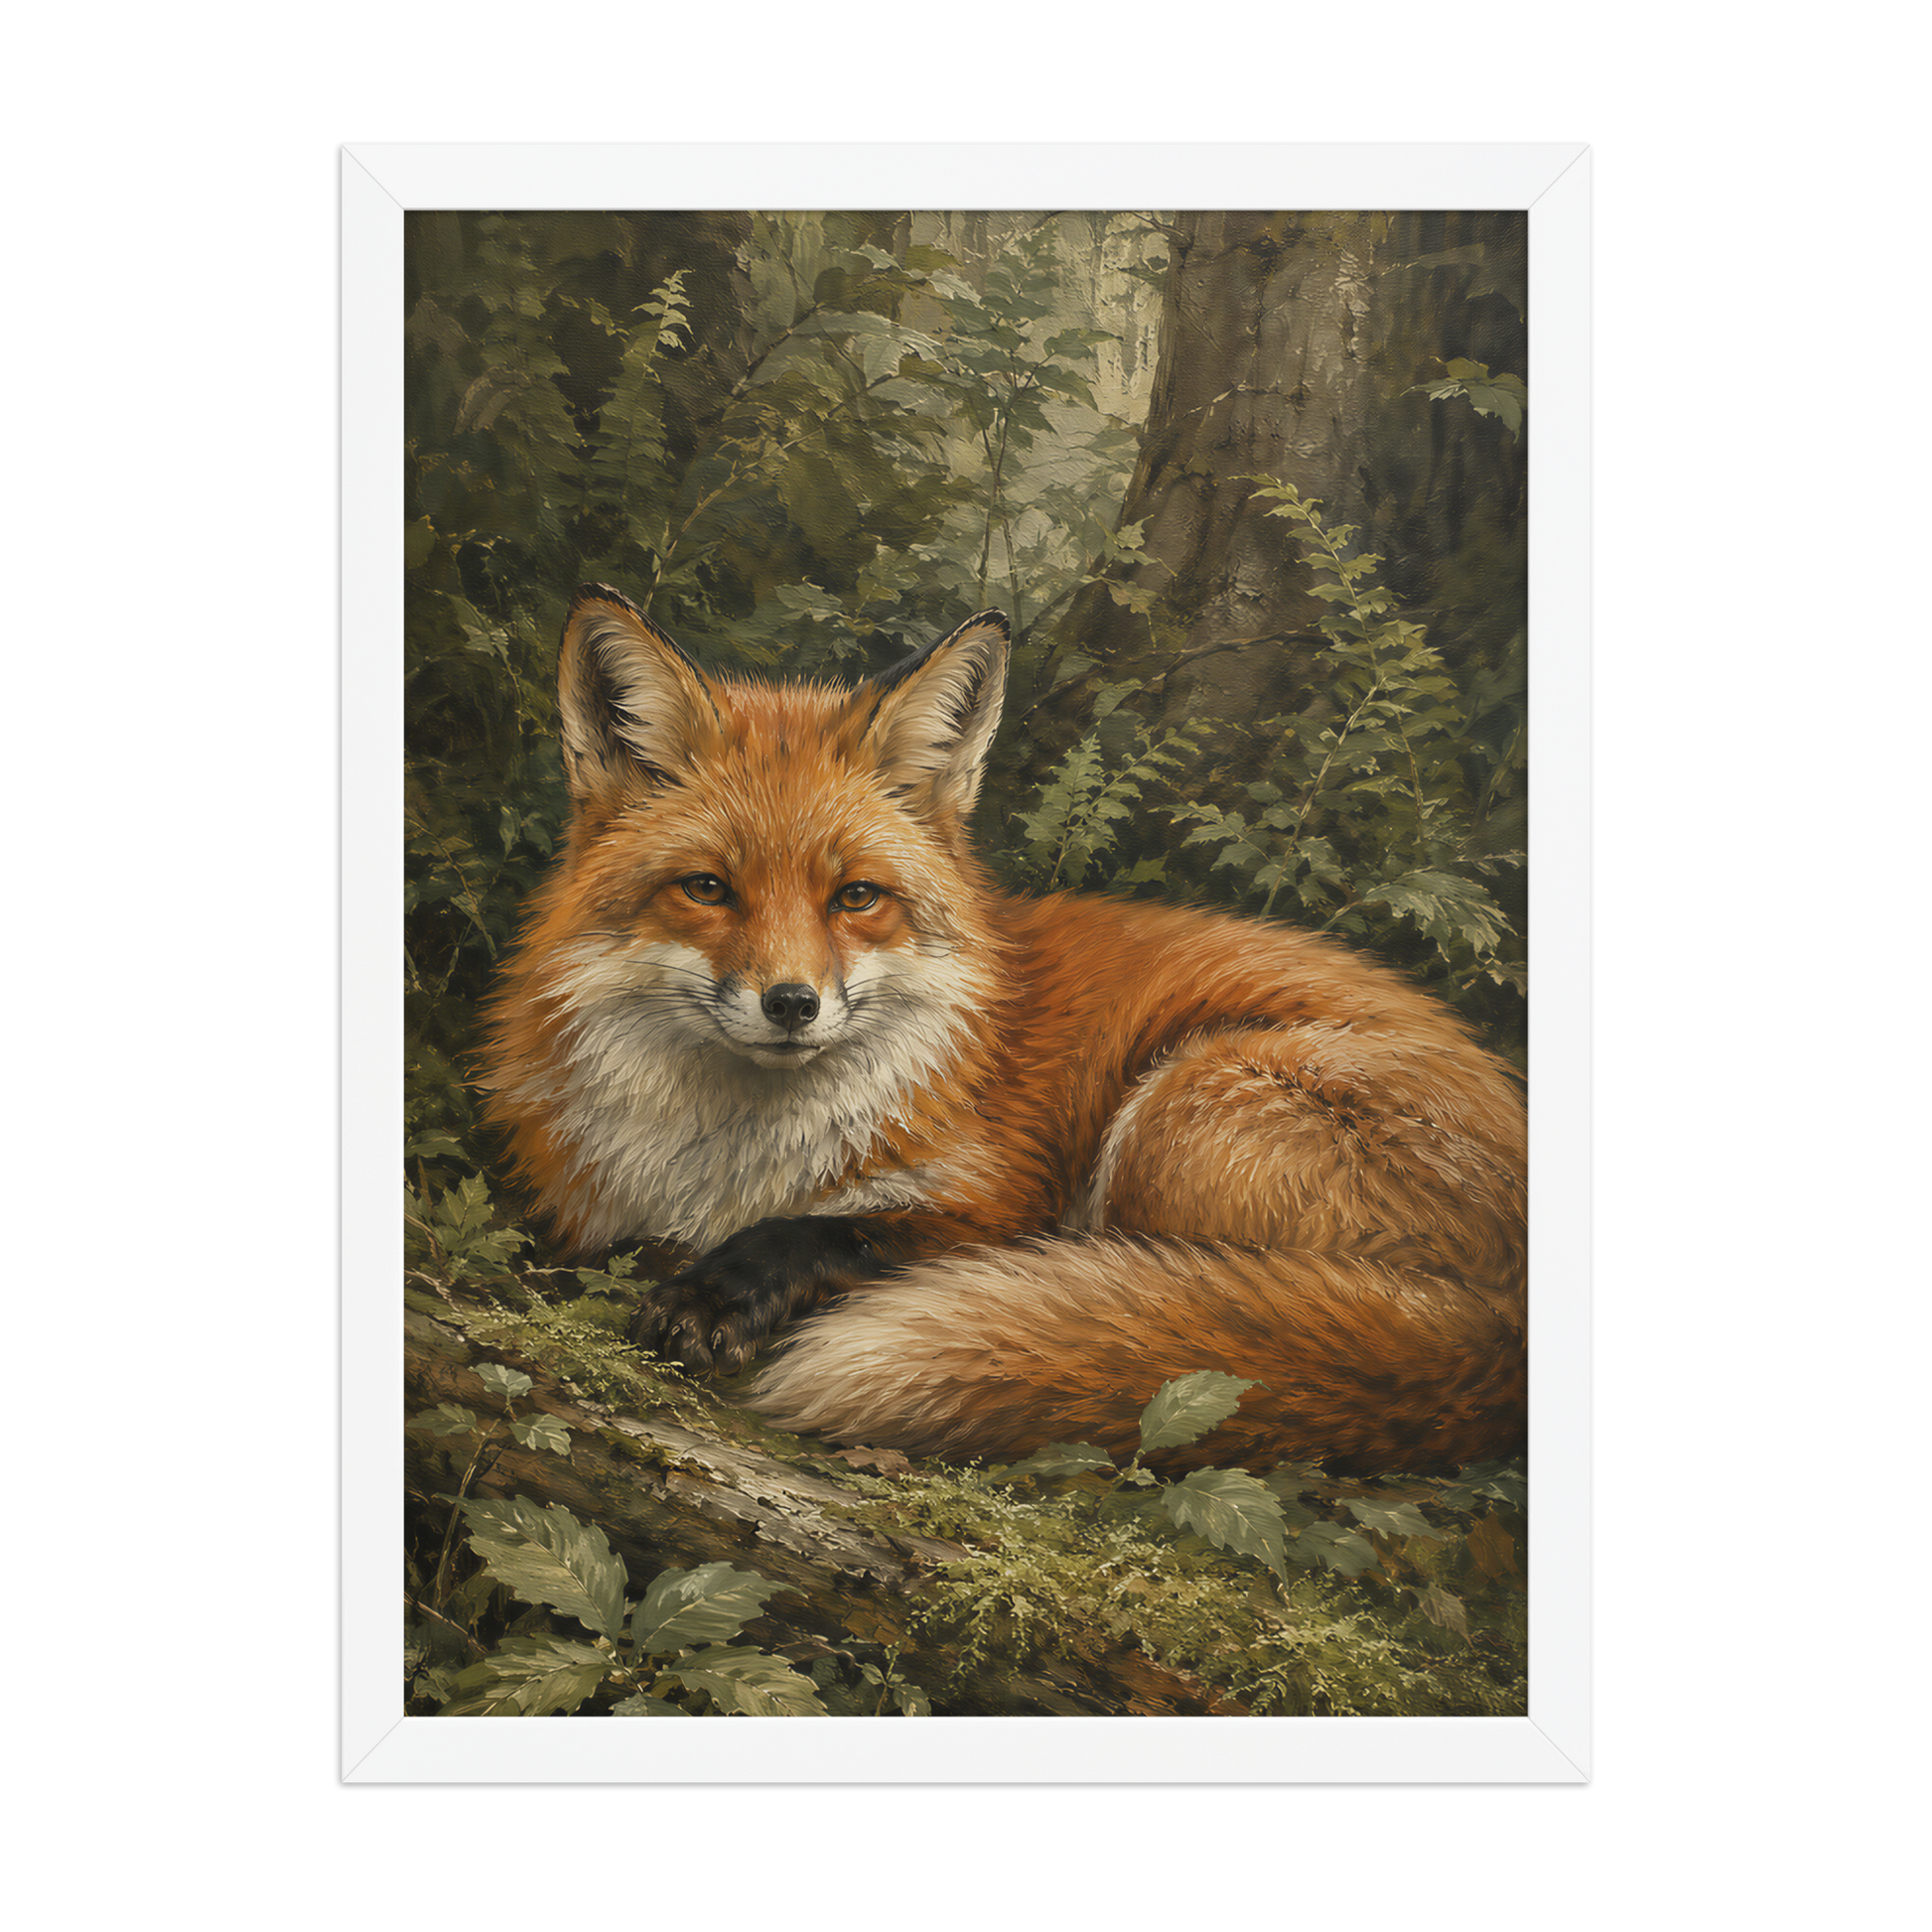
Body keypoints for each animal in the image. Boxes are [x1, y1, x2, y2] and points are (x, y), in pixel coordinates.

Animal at [479, 583, 1527, 1478]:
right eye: (707, 889)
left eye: (856, 898)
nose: (792, 1003)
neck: (726, 1161)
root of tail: (1506, 1335)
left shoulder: (997, 1207)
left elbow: (838, 1234)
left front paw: (716, 1293)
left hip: (1177, 1109)